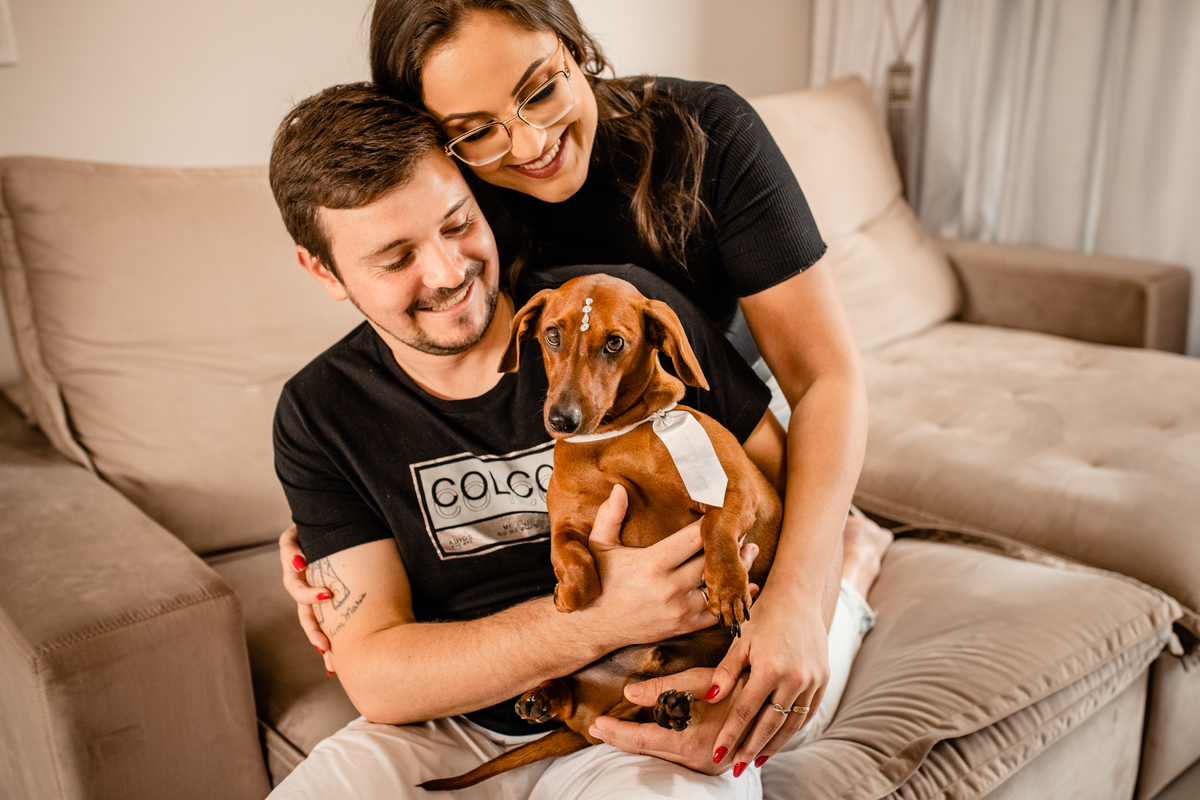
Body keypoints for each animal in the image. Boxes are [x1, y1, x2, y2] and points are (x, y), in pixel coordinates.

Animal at [420, 274, 783, 791]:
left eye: (615, 343)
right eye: (552, 335)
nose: (562, 420)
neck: (610, 442)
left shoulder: (736, 489)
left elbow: (717, 526)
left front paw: (727, 585)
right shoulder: (567, 520)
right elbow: (566, 551)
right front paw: (572, 590)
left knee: (629, 716)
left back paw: (669, 710)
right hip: (589, 684)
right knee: (587, 711)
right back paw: (546, 697)